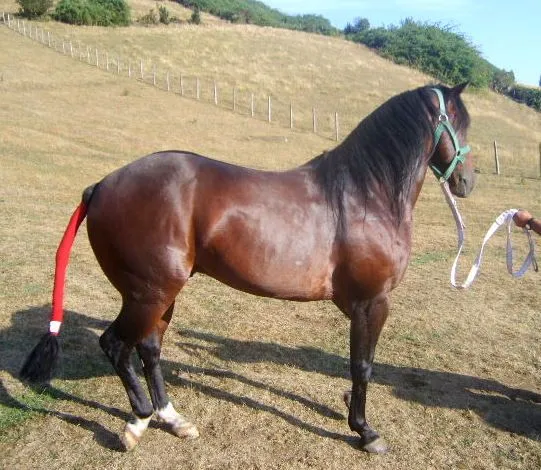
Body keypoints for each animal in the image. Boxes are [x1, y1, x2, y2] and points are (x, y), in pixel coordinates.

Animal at [21, 82, 474, 454]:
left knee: (148, 348)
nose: (468, 182)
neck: (364, 196)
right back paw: (138, 421)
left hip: (158, 293)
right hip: (149, 292)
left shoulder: (359, 304)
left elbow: (358, 366)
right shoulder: (371, 302)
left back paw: (172, 418)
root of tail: (101, 186)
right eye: (460, 125)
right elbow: (363, 365)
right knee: (116, 345)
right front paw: (365, 431)